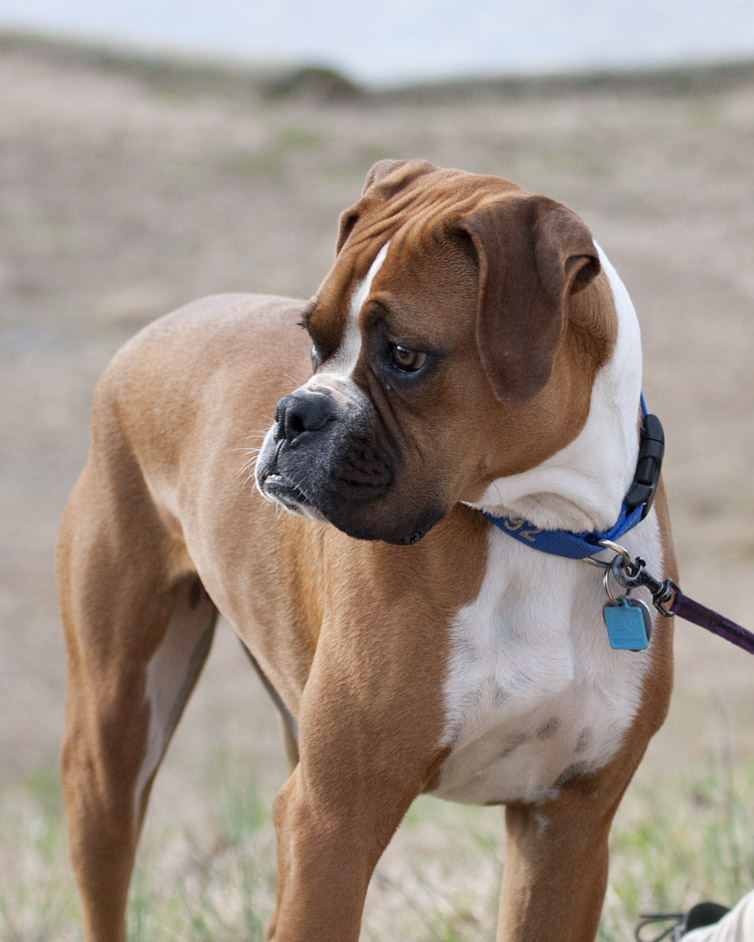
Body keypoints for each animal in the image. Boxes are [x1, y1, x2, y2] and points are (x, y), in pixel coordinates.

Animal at [55, 159, 672, 940]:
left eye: (404, 356)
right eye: (313, 340)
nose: (294, 412)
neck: (547, 529)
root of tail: (156, 330)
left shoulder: (565, 831)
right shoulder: (332, 823)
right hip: (113, 746)